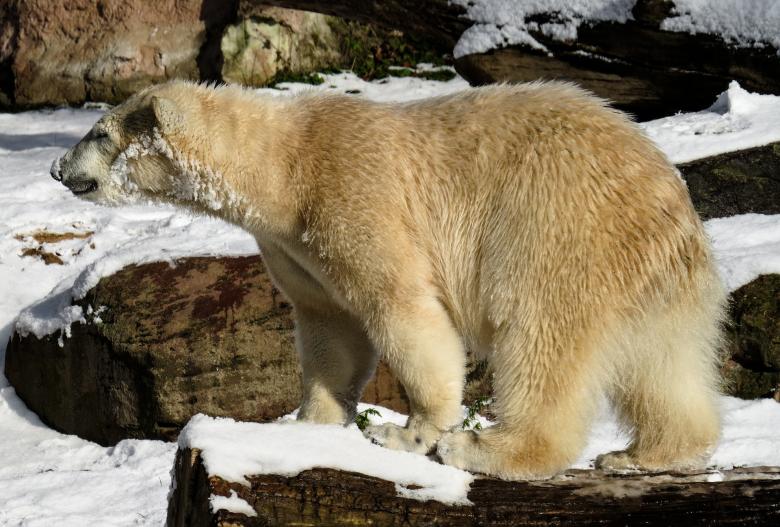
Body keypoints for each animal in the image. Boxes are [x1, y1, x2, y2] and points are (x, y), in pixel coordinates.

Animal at [51, 80, 726, 480]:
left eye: (99, 132)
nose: (57, 167)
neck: (284, 166)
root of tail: (666, 194)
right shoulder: (294, 244)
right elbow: (331, 330)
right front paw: (308, 425)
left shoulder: (353, 195)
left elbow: (401, 309)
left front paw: (410, 433)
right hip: (651, 273)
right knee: (662, 363)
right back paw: (647, 453)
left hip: (555, 227)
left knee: (541, 338)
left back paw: (492, 449)